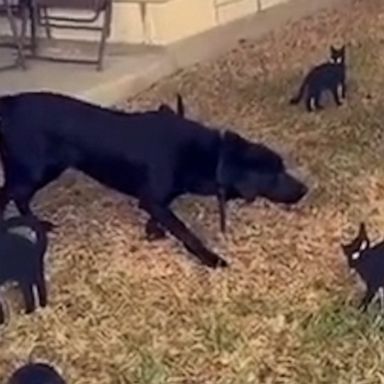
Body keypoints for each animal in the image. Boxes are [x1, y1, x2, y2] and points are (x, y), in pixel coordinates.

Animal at [0, 92, 308, 268]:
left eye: (282, 167)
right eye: (274, 174)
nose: (305, 189)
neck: (212, 156)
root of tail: (8, 103)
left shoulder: (155, 198)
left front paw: (153, 230)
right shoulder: (154, 198)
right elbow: (185, 232)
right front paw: (211, 259)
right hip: (35, 169)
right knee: (11, 193)